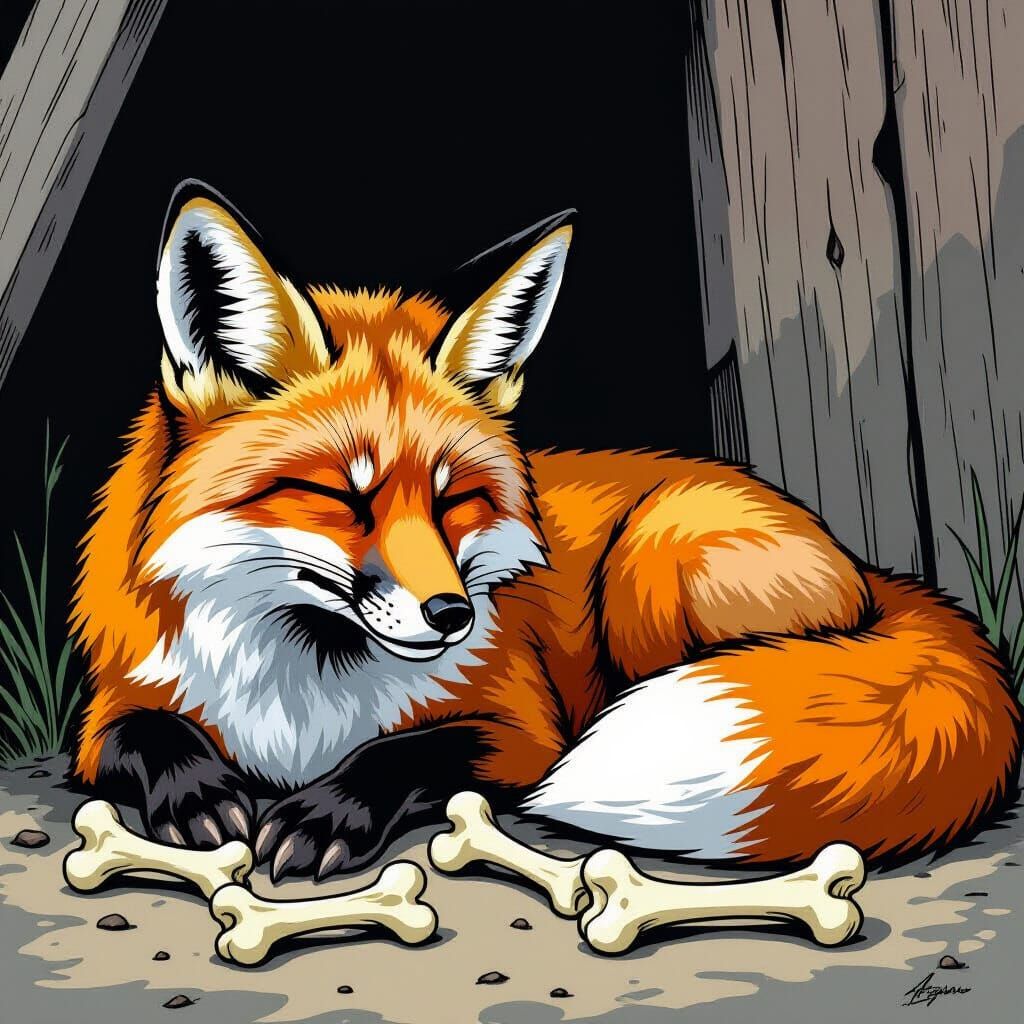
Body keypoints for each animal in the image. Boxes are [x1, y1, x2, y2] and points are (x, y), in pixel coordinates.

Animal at [70, 180, 1021, 882]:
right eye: (343, 496)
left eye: (454, 501)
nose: (452, 615)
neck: (304, 696)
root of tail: (876, 574)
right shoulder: (112, 708)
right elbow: (146, 737)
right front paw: (200, 795)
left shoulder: (523, 730)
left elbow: (411, 749)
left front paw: (328, 811)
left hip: (655, 560)